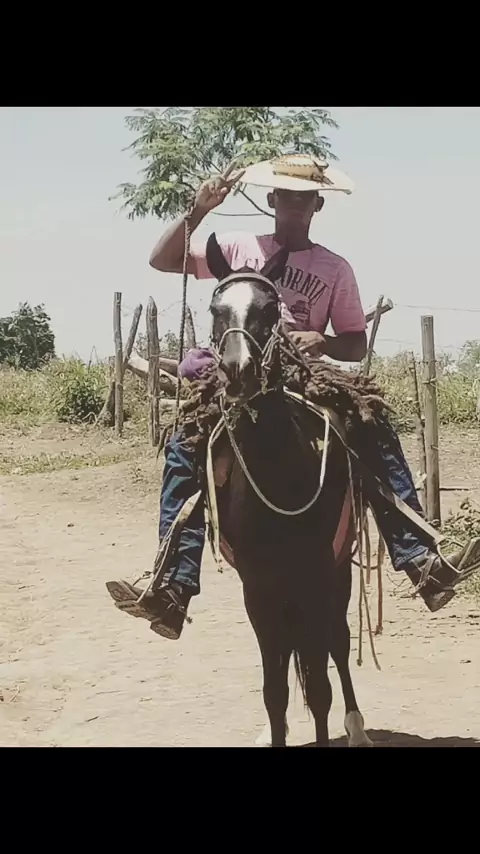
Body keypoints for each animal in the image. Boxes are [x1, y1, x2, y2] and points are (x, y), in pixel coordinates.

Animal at [202, 233, 372, 747]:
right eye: (216, 308)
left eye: (268, 307)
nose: (238, 370)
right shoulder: (258, 588)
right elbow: (275, 691)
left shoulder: (315, 577)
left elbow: (318, 687)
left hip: (337, 573)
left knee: (337, 643)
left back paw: (357, 727)